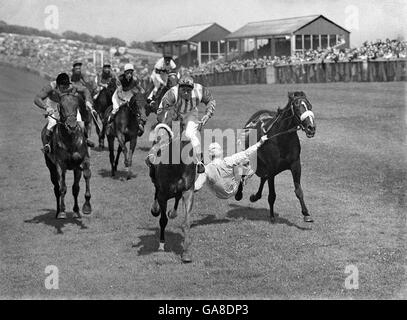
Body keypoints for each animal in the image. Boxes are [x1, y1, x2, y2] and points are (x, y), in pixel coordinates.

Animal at [41, 91, 92, 219]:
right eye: (62, 107)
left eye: (76, 106)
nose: (72, 125)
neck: (70, 139)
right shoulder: (60, 165)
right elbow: (62, 188)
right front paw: (63, 211)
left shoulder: (81, 163)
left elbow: (79, 185)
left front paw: (84, 208)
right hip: (50, 166)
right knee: (56, 187)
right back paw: (58, 211)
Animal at [237, 91, 318, 222]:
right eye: (297, 107)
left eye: (310, 106)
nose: (311, 127)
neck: (282, 138)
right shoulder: (271, 167)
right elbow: (272, 194)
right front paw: (271, 216)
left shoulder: (295, 164)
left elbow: (298, 190)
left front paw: (306, 214)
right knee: (244, 172)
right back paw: (239, 194)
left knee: (263, 178)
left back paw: (255, 196)